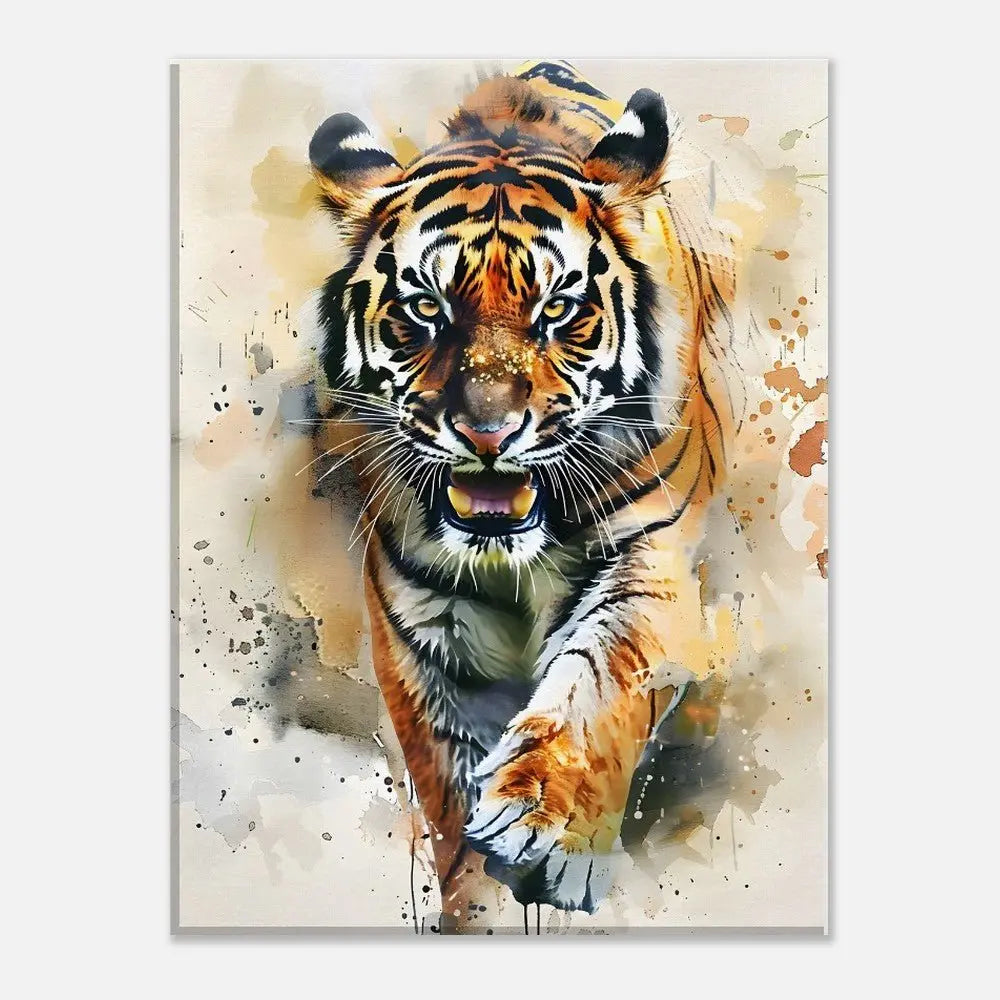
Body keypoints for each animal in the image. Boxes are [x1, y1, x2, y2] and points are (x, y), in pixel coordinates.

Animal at [306, 59, 740, 922]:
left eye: (558, 310)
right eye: (425, 308)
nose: (488, 432)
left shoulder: (648, 558)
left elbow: (600, 684)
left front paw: (542, 818)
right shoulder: (423, 616)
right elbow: (446, 785)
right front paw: (480, 896)